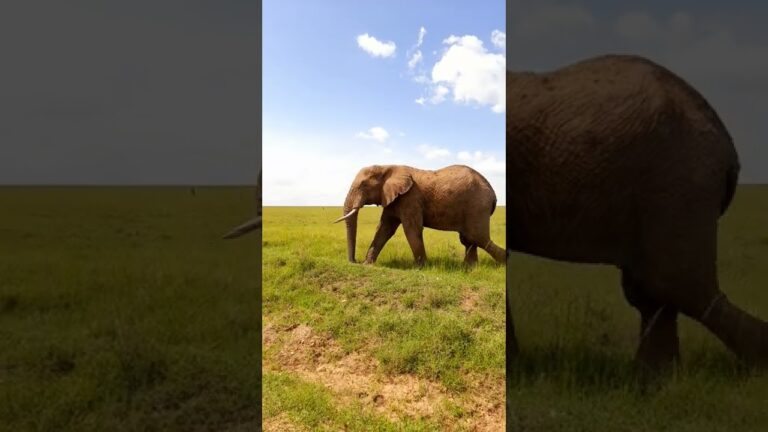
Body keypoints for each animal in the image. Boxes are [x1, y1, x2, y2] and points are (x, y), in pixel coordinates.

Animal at [335, 164, 507, 266]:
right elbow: (384, 229)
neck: (387, 167)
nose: (354, 261)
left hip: (477, 206)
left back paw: (503, 263)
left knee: (477, 237)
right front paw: (368, 264)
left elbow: (411, 229)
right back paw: (470, 268)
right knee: (468, 239)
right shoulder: (394, 199)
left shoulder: (410, 198)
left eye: (363, 185)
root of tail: (493, 194)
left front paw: (421, 267)